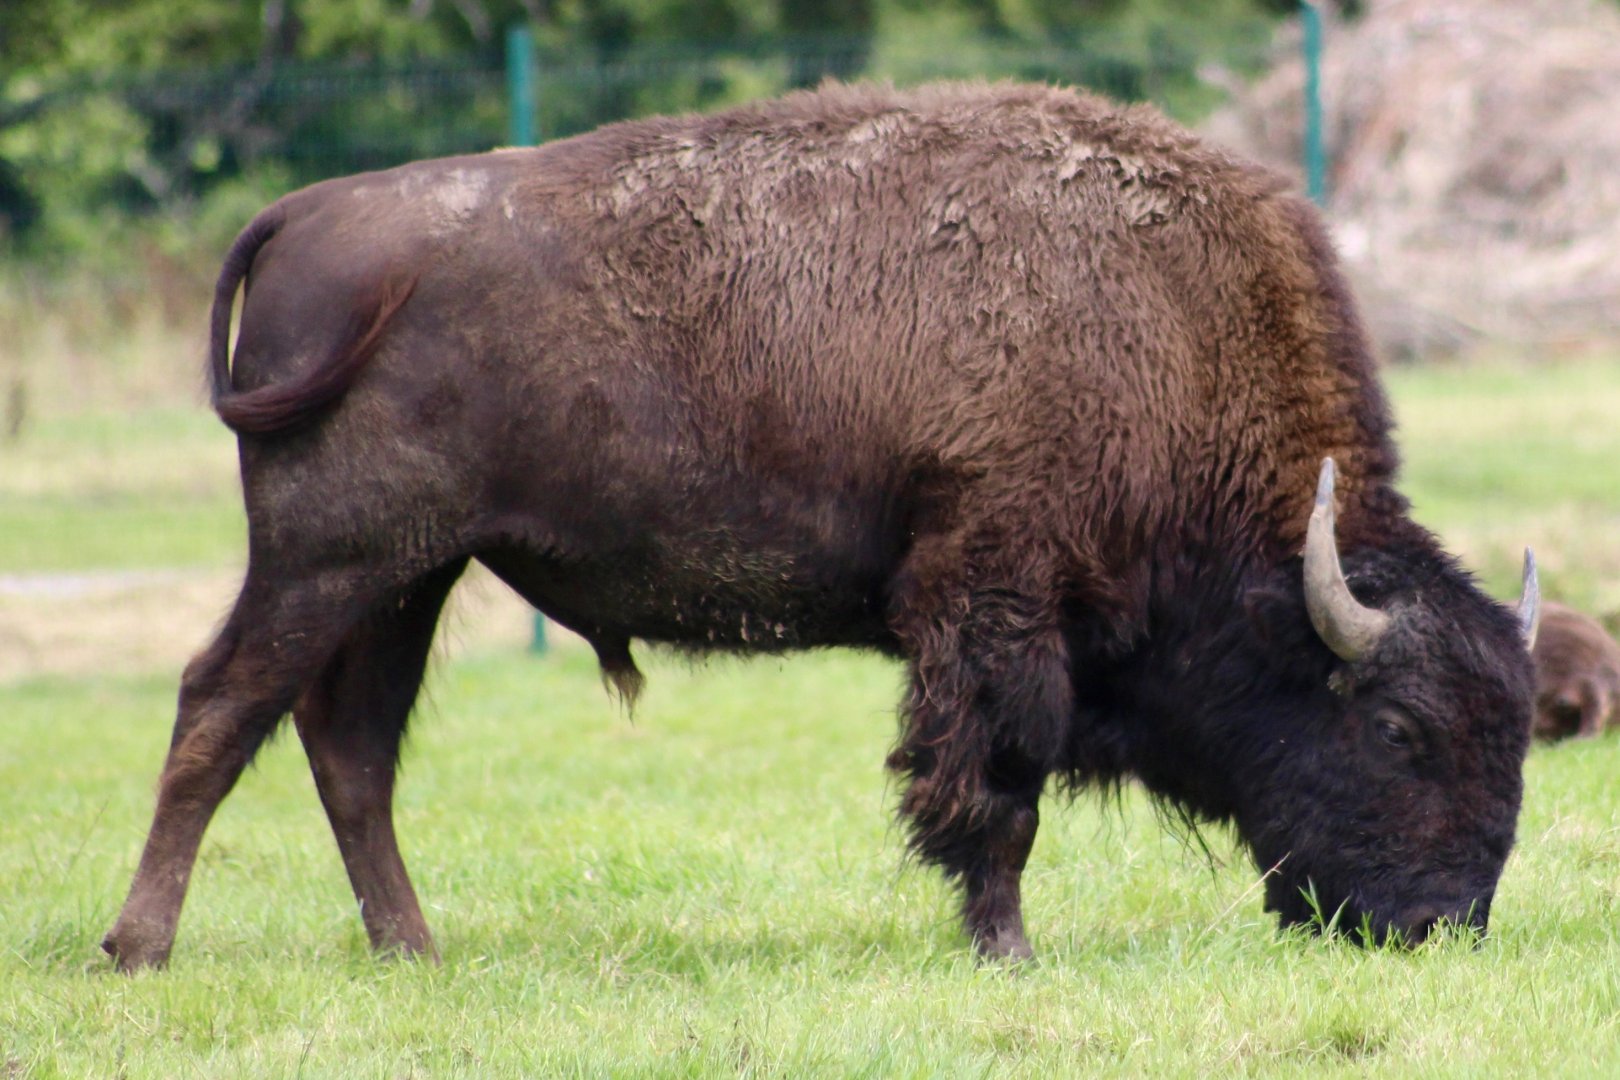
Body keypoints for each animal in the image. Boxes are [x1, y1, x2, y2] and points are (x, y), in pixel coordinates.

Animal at [104, 81, 1540, 970]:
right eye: (1398, 730)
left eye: (1519, 735)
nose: (1443, 926)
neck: (1162, 332)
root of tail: (310, 210)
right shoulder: (992, 598)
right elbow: (997, 784)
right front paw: (1009, 949)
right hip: (330, 557)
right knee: (219, 707)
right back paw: (139, 948)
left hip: (408, 577)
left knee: (348, 744)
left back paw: (411, 948)